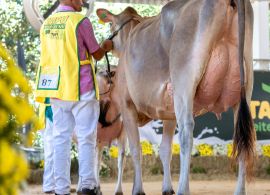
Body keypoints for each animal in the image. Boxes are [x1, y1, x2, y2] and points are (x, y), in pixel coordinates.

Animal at [97, 0, 255, 195]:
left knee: (187, 132)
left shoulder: (127, 105)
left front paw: (138, 189)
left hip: (184, 82)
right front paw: (166, 188)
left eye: (111, 24)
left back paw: (183, 188)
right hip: (245, 86)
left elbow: (135, 149)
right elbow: (165, 149)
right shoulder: (168, 112)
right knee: (242, 136)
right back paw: (239, 190)